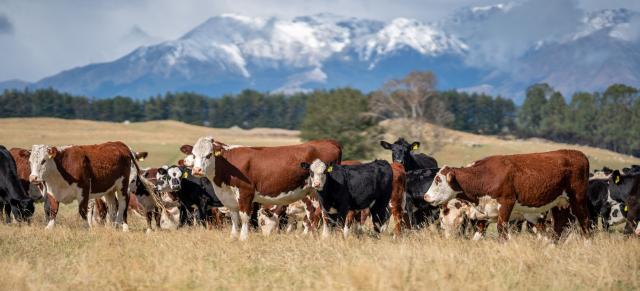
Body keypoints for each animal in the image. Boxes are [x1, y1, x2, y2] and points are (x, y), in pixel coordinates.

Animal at [180, 139, 340, 242]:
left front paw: (243, 238)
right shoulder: (229, 198)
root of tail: (330, 142)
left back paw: (325, 236)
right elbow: (234, 218)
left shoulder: (246, 193)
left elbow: (245, 217)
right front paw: (233, 237)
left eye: (209, 155)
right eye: (193, 154)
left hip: (320, 191)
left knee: (323, 214)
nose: (197, 170)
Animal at [424, 151, 592, 240]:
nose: (426, 196)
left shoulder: (506, 204)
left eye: (438, 180)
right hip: (559, 204)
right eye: (441, 219)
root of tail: (577, 154)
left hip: (577, 199)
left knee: (585, 223)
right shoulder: (484, 217)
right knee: (558, 227)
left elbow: (502, 231)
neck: (484, 176)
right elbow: (477, 237)